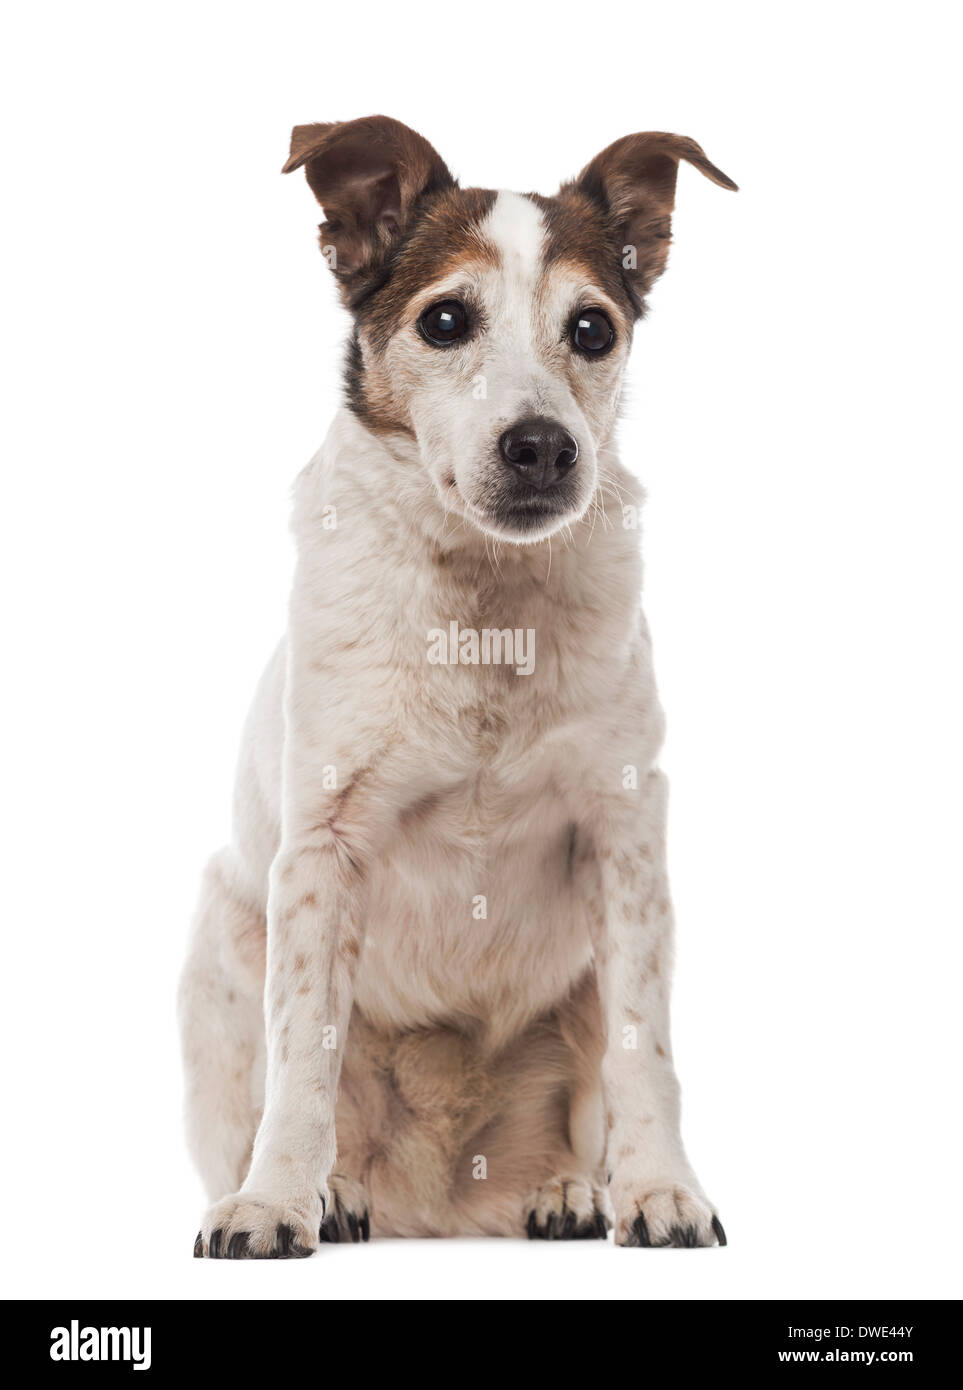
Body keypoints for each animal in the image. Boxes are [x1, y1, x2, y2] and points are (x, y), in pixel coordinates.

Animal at [182, 113, 733, 1256]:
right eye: (445, 320)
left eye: (593, 329)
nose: (543, 446)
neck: (485, 601)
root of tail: (439, 1202)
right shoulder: (322, 850)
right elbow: (303, 1055)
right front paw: (276, 1200)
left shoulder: (625, 839)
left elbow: (643, 1047)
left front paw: (660, 1189)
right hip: (222, 927)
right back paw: (335, 1191)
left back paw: (568, 1189)